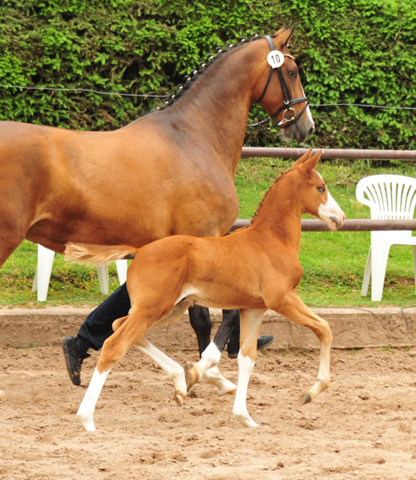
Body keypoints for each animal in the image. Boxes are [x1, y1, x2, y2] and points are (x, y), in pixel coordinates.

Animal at [0, 25, 316, 394]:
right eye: (292, 72)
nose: (305, 125)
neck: (194, 137)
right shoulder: (201, 238)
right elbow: (207, 316)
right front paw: (207, 372)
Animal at [65, 150, 344, 432]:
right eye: (321, 187)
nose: (340, 218)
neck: (271, 240)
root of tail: (139, 250)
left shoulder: (253, 309)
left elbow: (247, 357)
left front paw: (244, 417)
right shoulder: (282, 299)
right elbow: (324, 329)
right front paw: (311, 392)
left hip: (170, 308)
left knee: (118, 325)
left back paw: (180, 381)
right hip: (154, 309)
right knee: (114, 345)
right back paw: (86, 419)